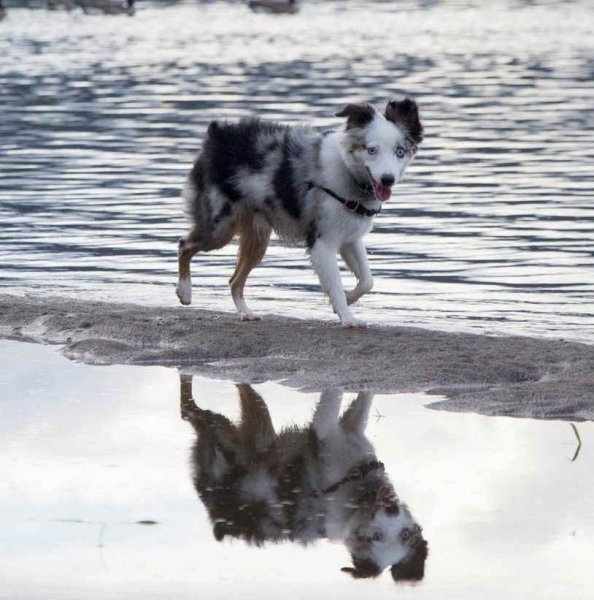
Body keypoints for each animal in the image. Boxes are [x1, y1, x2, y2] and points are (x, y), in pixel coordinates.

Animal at [176, 98, 420, 326]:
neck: (349, 174)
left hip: (257, 237)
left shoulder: (351, 237)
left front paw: (348, 299)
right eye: (372, 150)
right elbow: (336, 283)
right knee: (184, 245)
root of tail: (217, 133)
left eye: (400, 152)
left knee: (234, 281)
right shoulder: (323, 242)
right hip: (220, 227)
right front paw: (347, 316)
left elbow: (368, 281)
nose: (387, 179)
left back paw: (246, 313)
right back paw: (185, 292)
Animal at [179, 376, 426, 580]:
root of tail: (218, 517)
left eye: (403, 535)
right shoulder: (328, 431)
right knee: (189, 408)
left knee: (192, 409)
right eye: (377, 536)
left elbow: (359, 396)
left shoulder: (341, 428)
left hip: (252, 429)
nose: (390, 507)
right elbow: (346, 392)